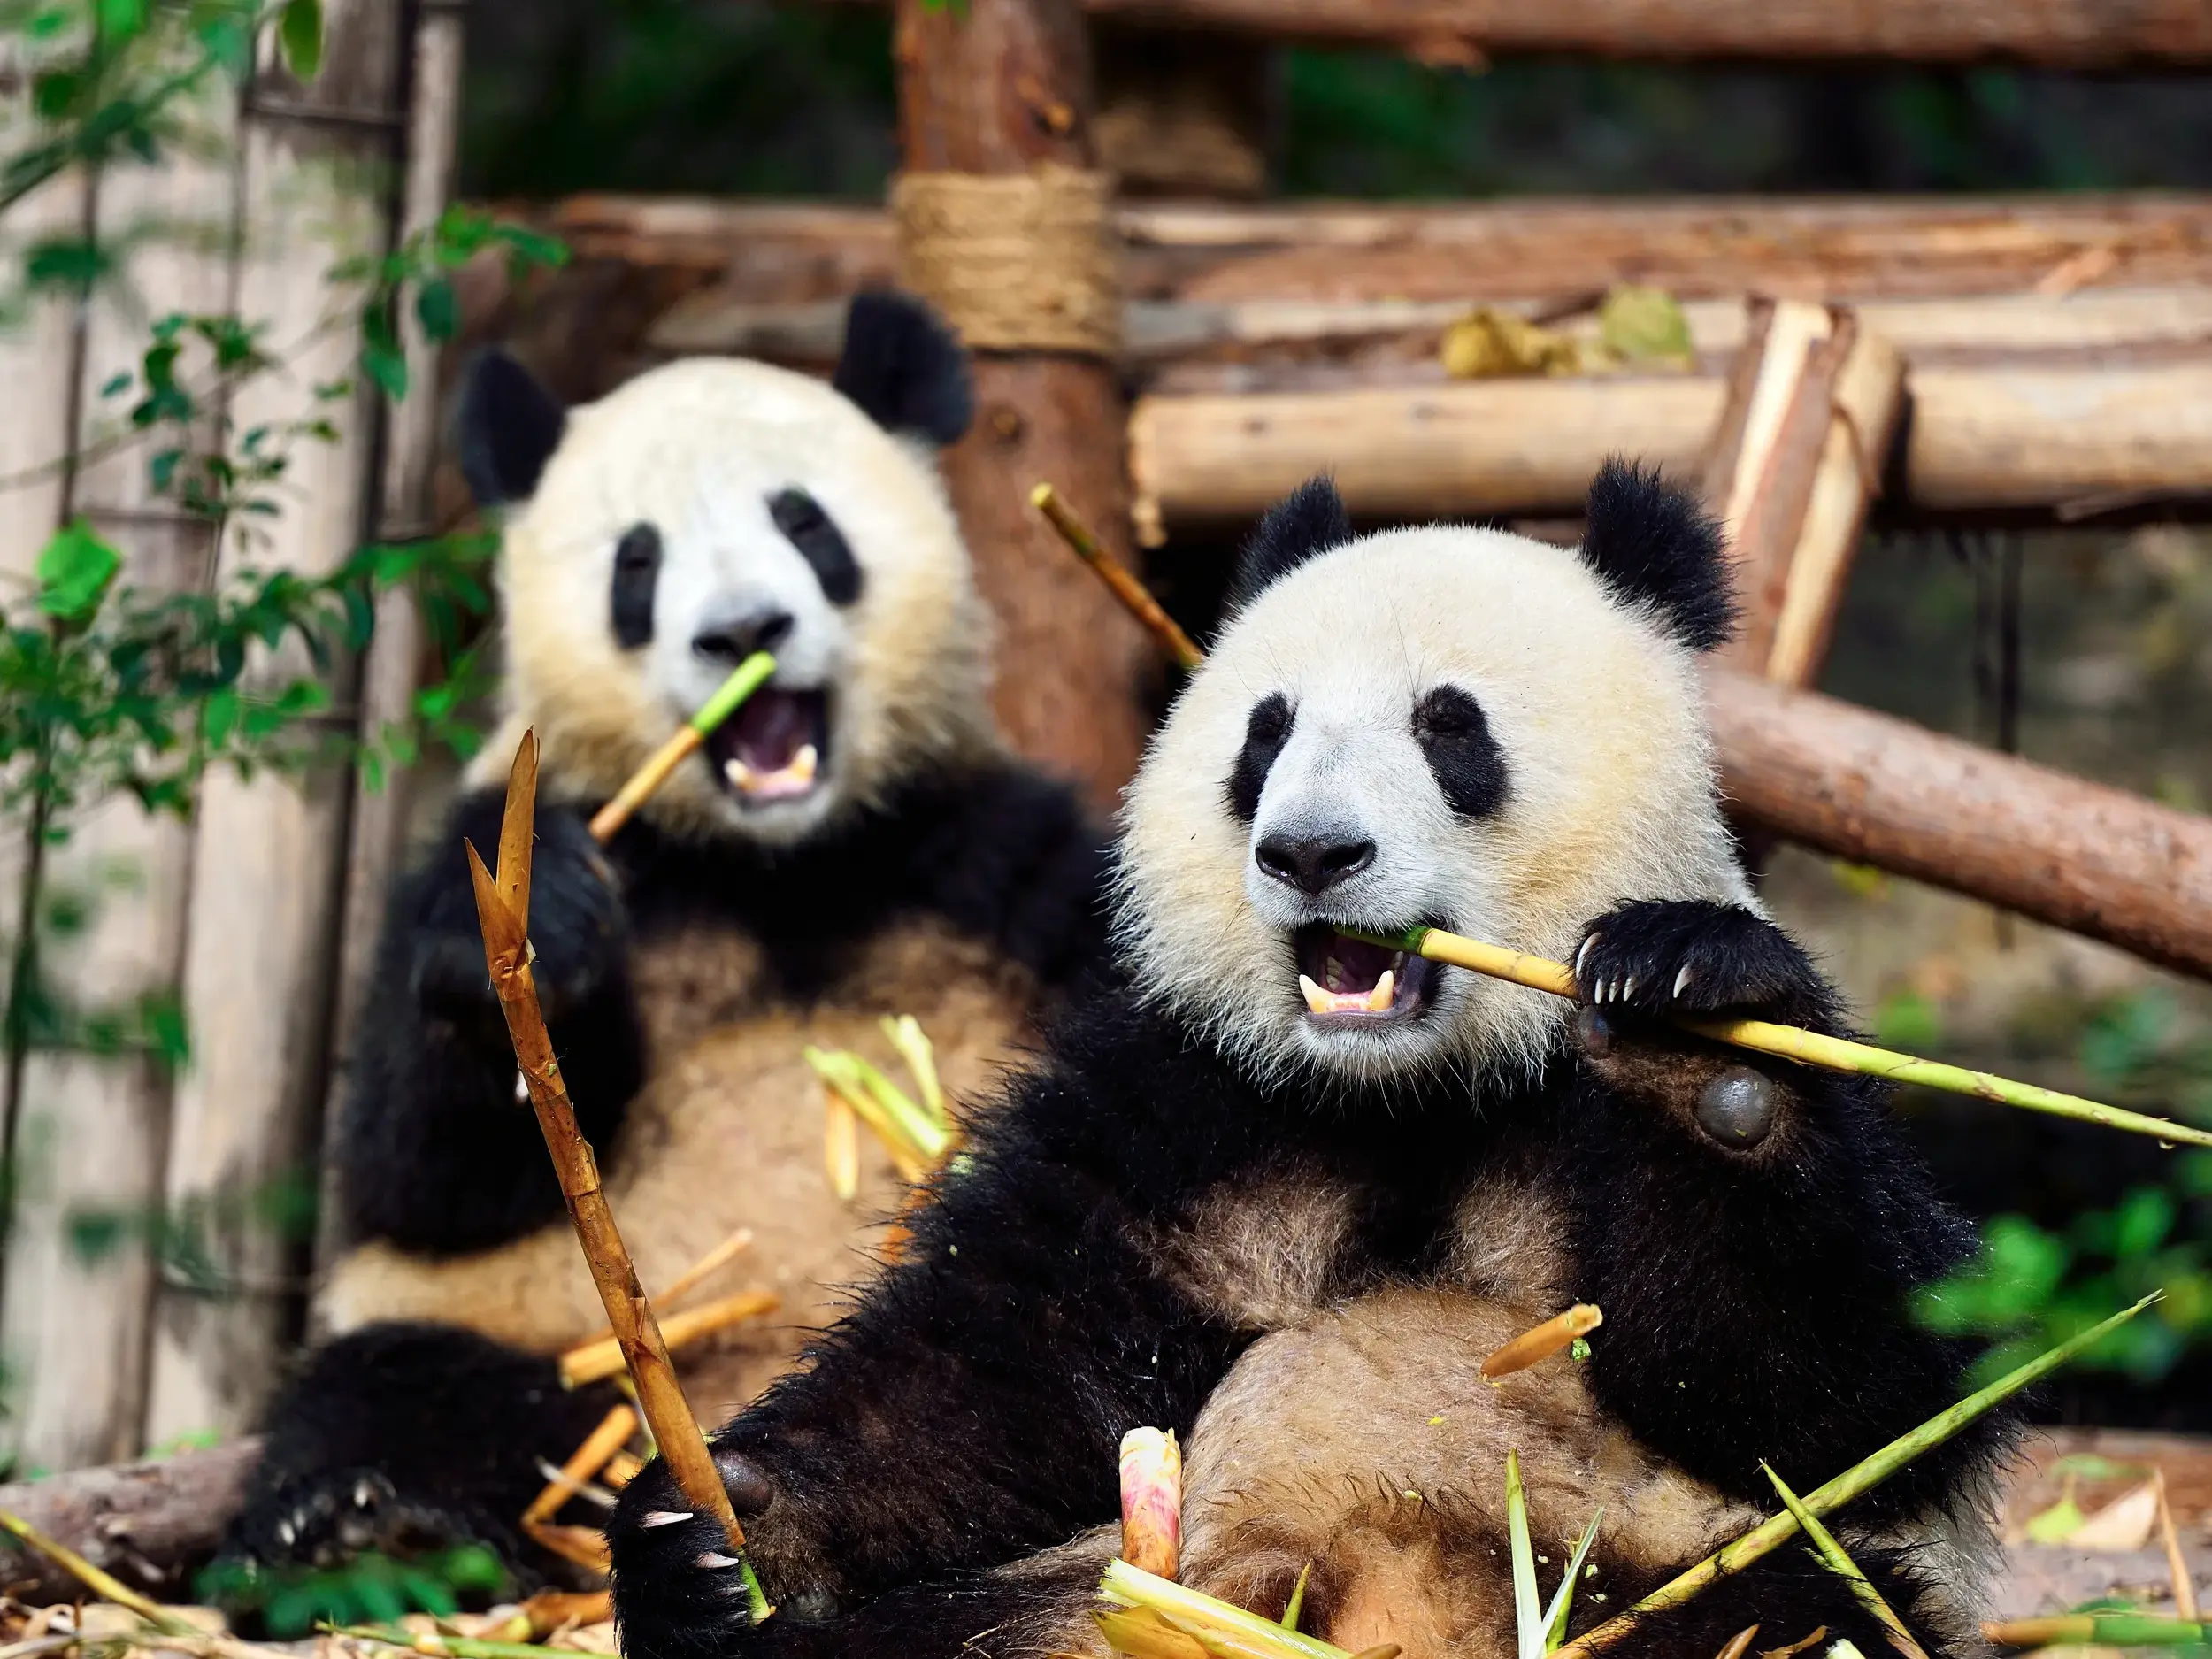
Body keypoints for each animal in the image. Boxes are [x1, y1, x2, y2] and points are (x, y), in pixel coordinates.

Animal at [214, 292, 1111, 1596]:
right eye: (636, 563)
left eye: (805, 521)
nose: (742, 629)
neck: (780, 864)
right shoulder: (503, 840)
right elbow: (415, 1169)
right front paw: (536, 934)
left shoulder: (992, 855)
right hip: (549, 1348)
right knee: (400, 1387)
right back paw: (375, 1530)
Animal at [603, 464, 2011, 1659]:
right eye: (1263, 734)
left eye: (1450, 727)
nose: (1311, 851)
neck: (1412, 1092)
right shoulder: (1189, 1109)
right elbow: (993, 1370)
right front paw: (719, 1529)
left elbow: (1843, 1396)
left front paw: (1698, 1037)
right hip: (1076, 1600)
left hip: (1658, 1578)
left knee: (1796, 1615)